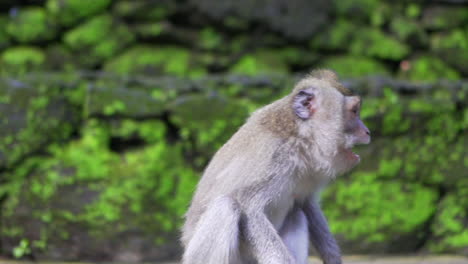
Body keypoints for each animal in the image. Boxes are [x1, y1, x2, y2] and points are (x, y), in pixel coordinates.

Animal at [181, 69, 372, 264]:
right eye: (354, 111)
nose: (367, 131)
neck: (299, 139)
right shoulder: (273, 160)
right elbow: (249, 209)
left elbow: (306, 203)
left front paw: (332, 257)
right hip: (197, 256)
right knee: (226, 206)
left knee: (296, 212)